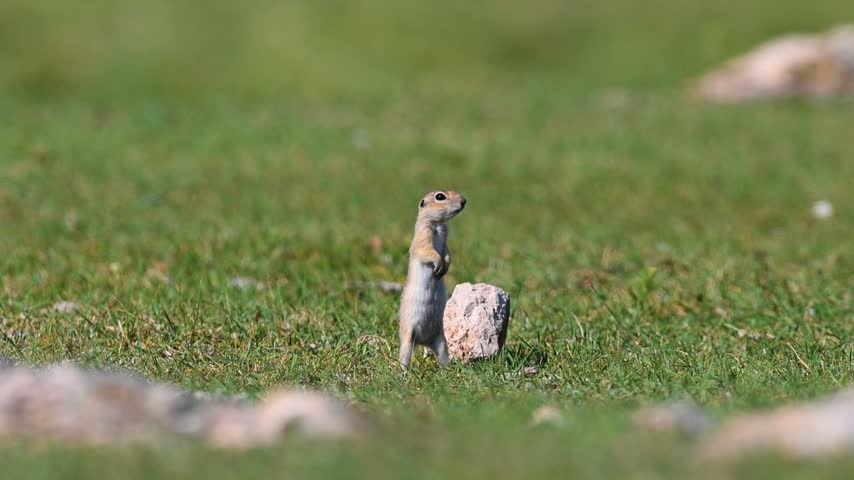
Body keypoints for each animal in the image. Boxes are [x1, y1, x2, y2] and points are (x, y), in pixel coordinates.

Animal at [398, 190, 467, 370]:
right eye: (440, 196)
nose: (464, 201)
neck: (438, 225)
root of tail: (423, 342)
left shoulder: (445, 241)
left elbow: (448, 254)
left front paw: (445, 267)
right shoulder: (423, 237)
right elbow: (427, 251)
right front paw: (438, 266)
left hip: (441, 342)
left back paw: (448, 370)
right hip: (407, 340)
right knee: (404, 357)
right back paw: (403, 372)